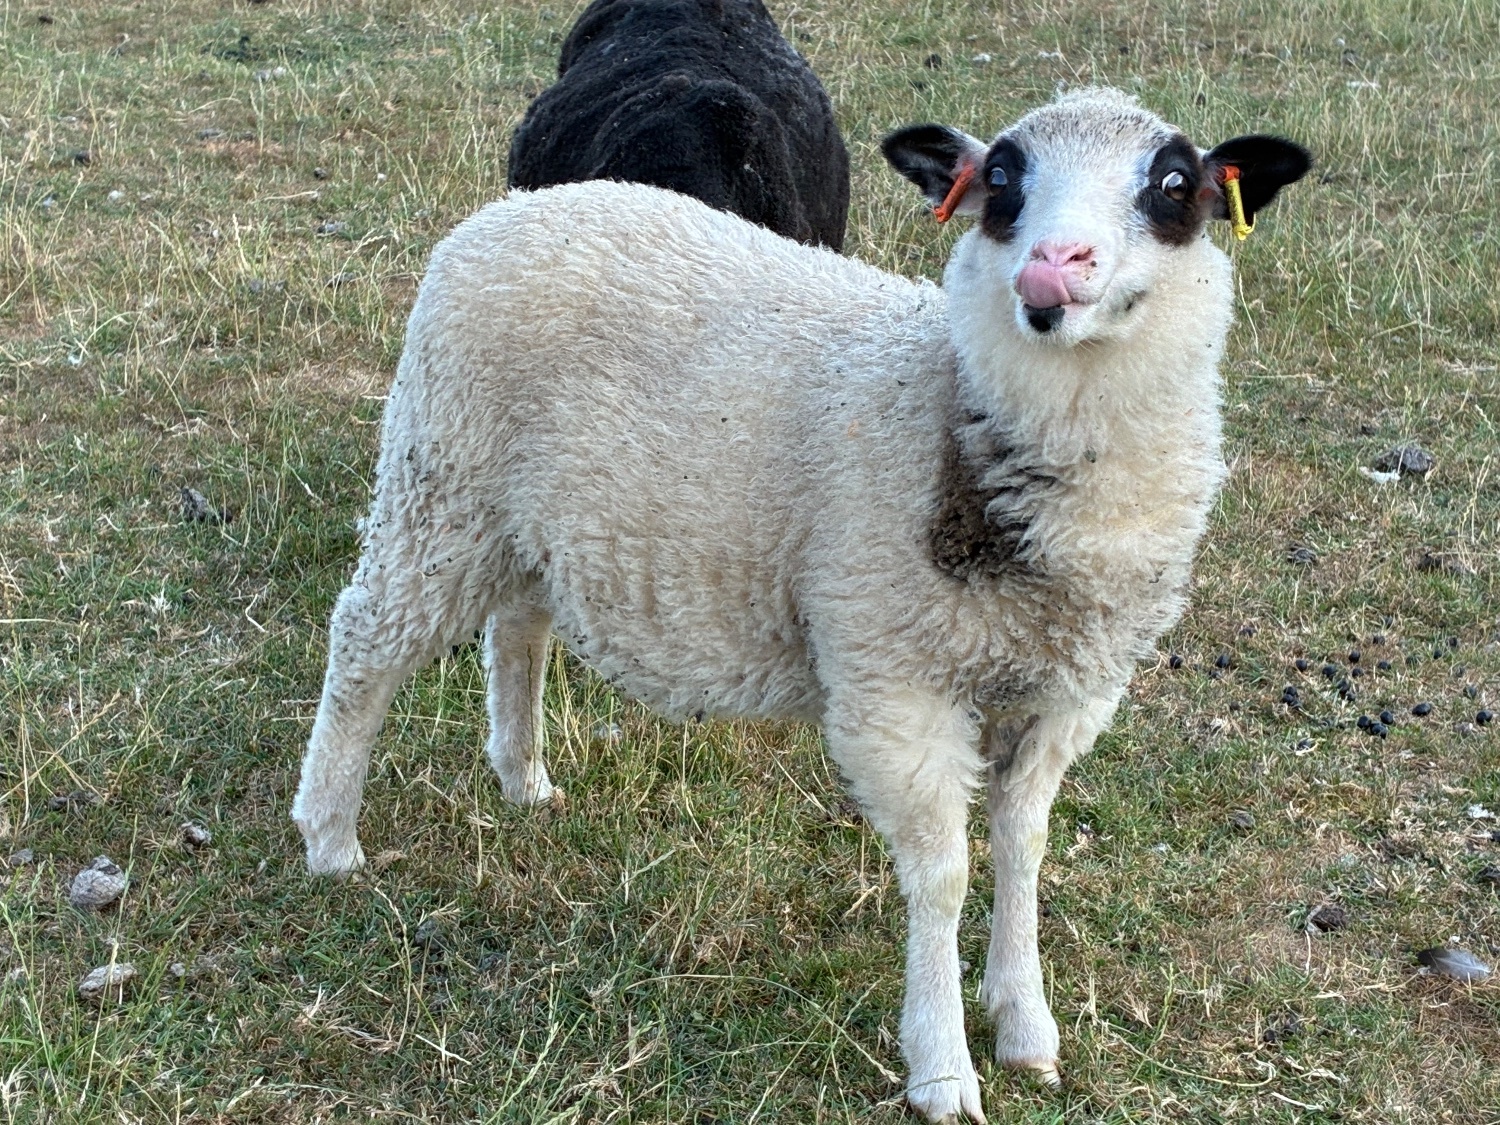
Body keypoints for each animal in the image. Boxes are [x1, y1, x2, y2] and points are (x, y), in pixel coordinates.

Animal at [293, 87, 1310, 1123]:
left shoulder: (1068, 691)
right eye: (1002, 178)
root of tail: (515, 210)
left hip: (529, 516)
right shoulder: (892, 681)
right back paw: (330, 834)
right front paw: (943, 1066)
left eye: (1173, 183)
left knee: (520, 626)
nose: (1054, 264)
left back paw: (523, 777)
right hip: (441, 479)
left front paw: (1026, 1025)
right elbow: (943, 875)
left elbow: (1023, 846)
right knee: (365, 642)